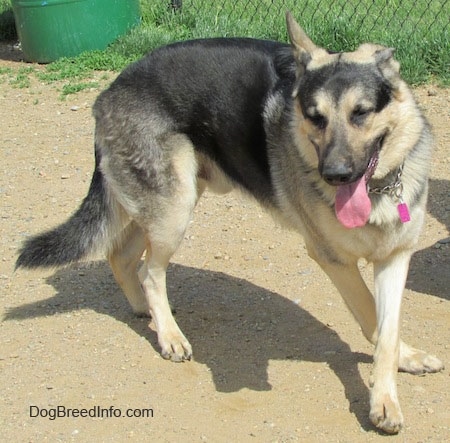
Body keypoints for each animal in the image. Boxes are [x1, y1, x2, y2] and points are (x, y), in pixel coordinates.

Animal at [16, 13, 442, 434]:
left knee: (121, 257)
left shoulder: (395, 257)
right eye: (314, 117)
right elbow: (371, 317)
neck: (380, 188)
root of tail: (111, 89)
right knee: (149, 272)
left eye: (361, 113)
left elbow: (388, 330)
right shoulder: (334, 261)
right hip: (173, 210)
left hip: (170, 201)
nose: (335, 175)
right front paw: (383, 398)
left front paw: (397, 374)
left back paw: (145, 312)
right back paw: (169, 334)